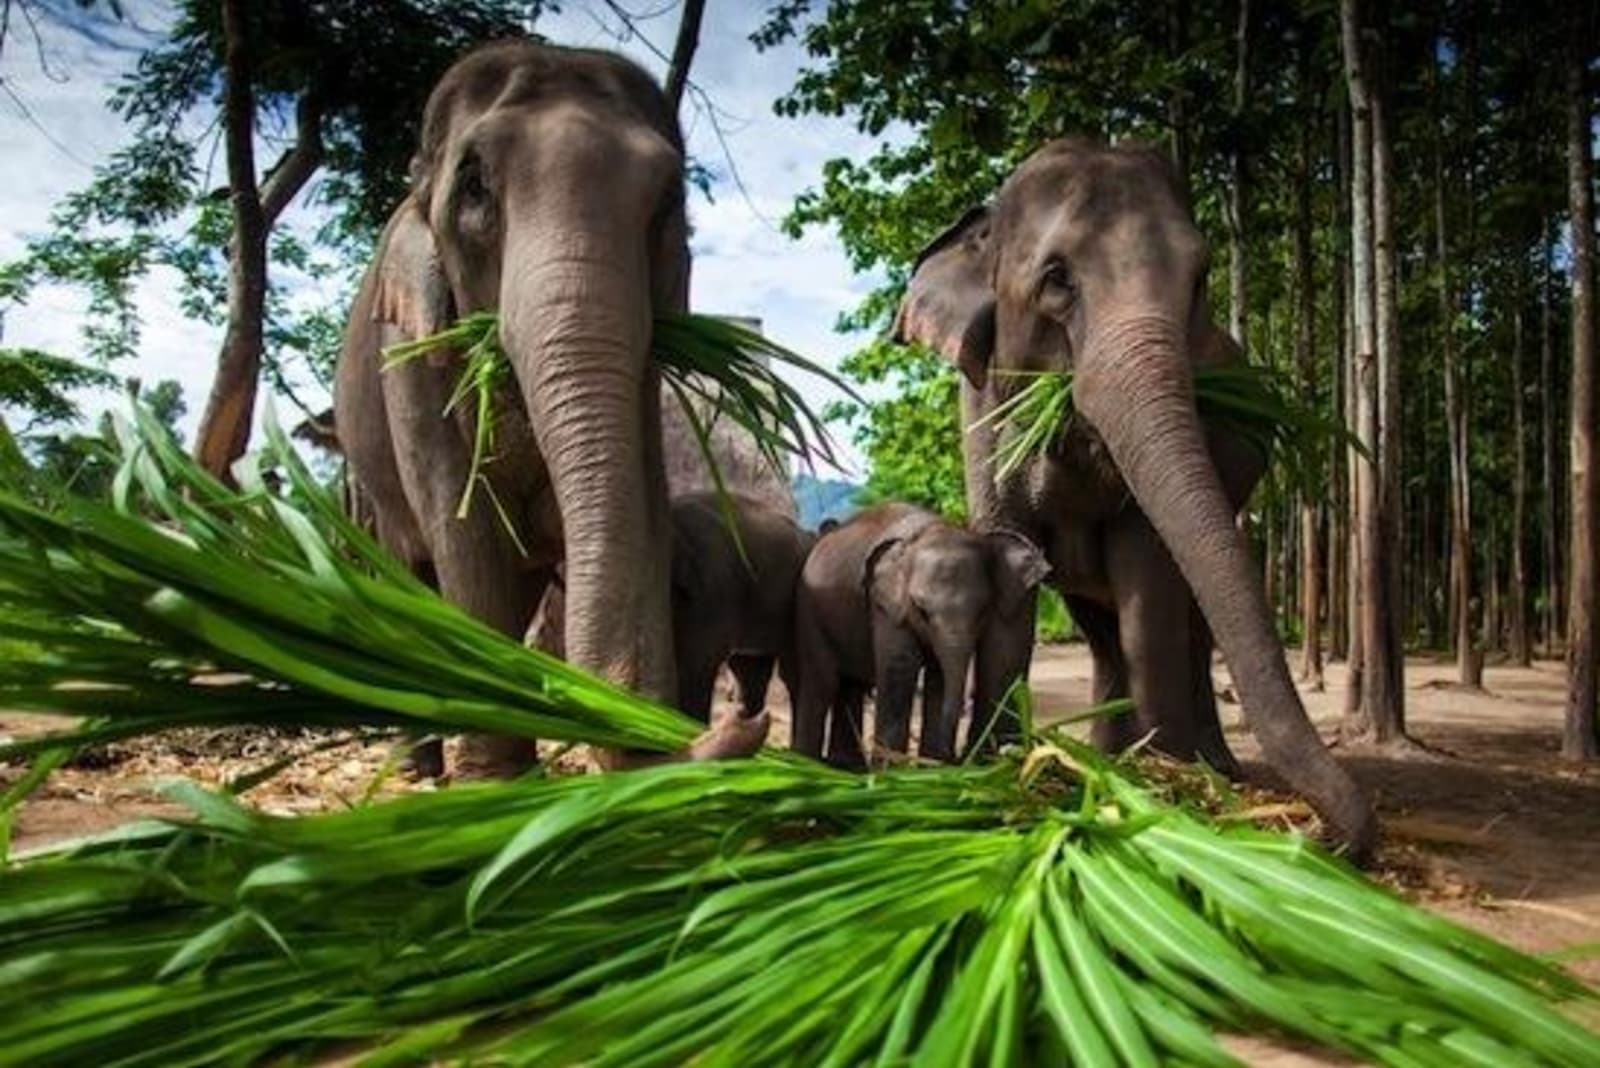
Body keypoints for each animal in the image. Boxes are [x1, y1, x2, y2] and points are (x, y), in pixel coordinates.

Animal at [334, 39, 762, 776]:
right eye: (474, 186)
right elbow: (462, 524)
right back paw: (420, 766)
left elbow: (643, 505)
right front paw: (494, 782)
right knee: (412, 567)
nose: (739, 719)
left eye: (669, 200)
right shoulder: (411, 354)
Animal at [792, 503, 1049, 766]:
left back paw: (845, 766)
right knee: (822, 681)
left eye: (982, 611)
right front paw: (891, 772)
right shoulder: (886, 605)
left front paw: (931, 767)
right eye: (921, 611)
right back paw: (805, 763)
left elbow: (939, 678)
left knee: (850, 684)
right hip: (809, 607)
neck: (932, 529)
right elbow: (900, 666)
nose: (954, 758)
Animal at [893, 138, 1376, 856]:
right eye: (1057, 279)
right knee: (1099, 628)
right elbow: (1011, 561)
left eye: (1200, 279)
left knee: (1188, 622)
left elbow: (1149, 576)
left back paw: (1205, 764)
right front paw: (1005, 766)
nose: (1322, 837)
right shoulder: (978, 414)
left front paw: (1166, 778)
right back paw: (1102, 751)